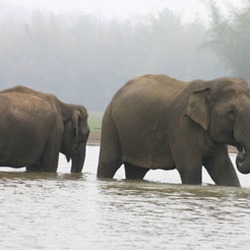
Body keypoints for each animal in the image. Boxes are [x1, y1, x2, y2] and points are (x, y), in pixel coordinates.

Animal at [97, 73, 250, 187]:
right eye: (231, 112)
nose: (240, 155)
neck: (208, 84)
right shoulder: (181, 126)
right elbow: (190, 168)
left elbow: (224, 170)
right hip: (110, 123)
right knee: (108, 163)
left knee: (136, 171)